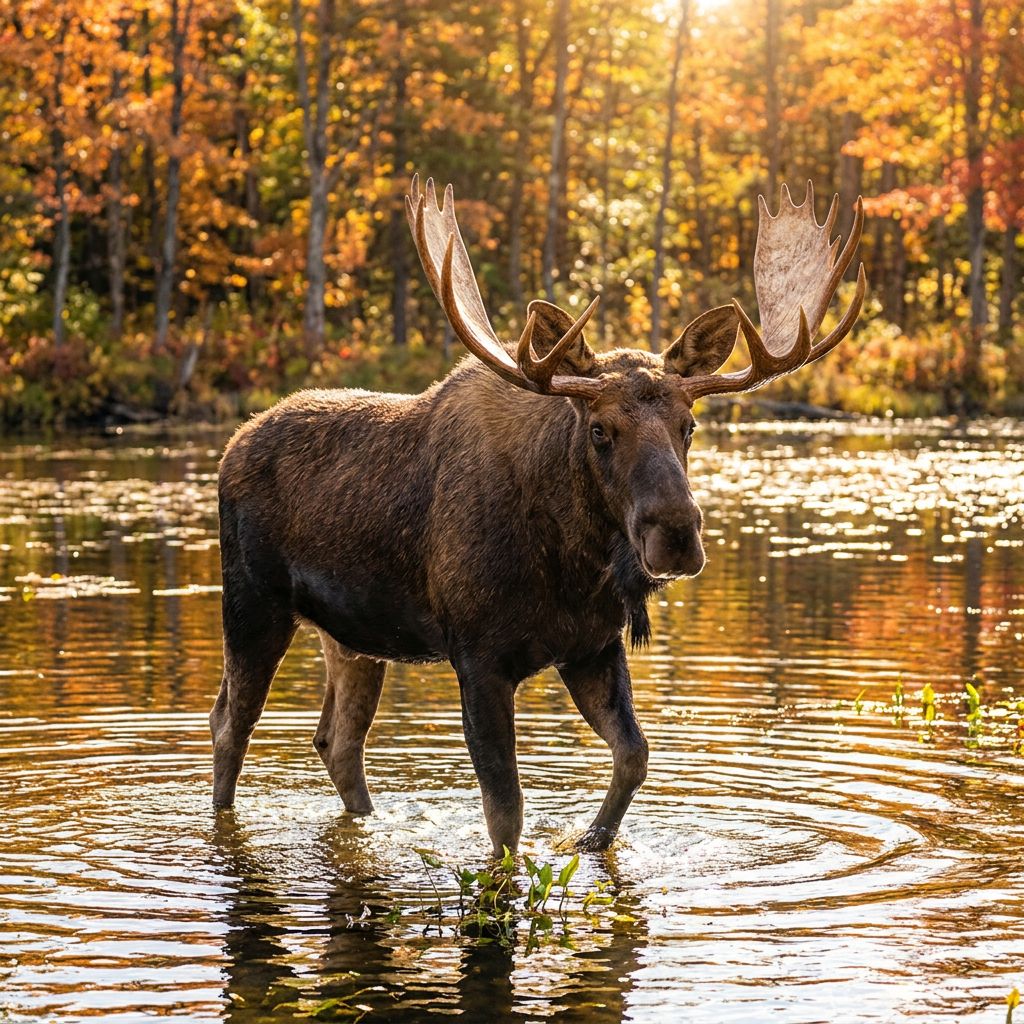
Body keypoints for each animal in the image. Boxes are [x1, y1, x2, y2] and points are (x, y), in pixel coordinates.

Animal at [210, 175, 865, 856]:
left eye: (689, 426)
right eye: (600, 430)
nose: (677, 535)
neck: (573, 564)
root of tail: (233, 445)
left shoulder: (592, 647)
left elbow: (634, 757)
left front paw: (589, 841)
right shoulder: (478, 658)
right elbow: (506, 812)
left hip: (354, 637)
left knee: (337, 742)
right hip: (253, 602)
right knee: (230, 723)